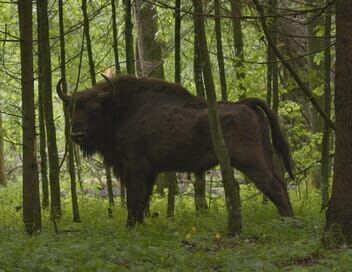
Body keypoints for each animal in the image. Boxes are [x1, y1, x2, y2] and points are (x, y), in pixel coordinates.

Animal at [57, 75, 294, 227]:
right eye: (71, 109)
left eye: (94, 111)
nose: (77, 135)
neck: (121, 109)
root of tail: (245, 104)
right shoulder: (149, 171)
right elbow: (143, 198)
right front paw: (139, 224)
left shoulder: (135, 168)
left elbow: (135, 198)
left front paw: (130, 226)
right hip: (265, 155)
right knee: (281, 183)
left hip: (250, 160)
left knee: (273, 186)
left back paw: (288, 222)